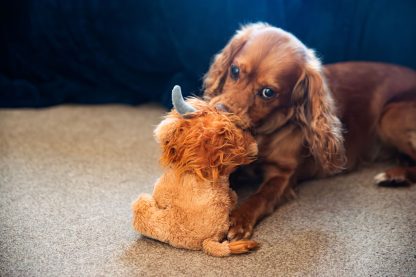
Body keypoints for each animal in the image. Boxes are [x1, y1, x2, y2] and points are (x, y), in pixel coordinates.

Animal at [203, 23, 416, 239]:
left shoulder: (284, 175)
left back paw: (393, 176)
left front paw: (240, 218)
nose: (219, 112)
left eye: (268, 92)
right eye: (234, 71)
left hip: (389, 117)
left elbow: (261, 195)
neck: (262, 132)